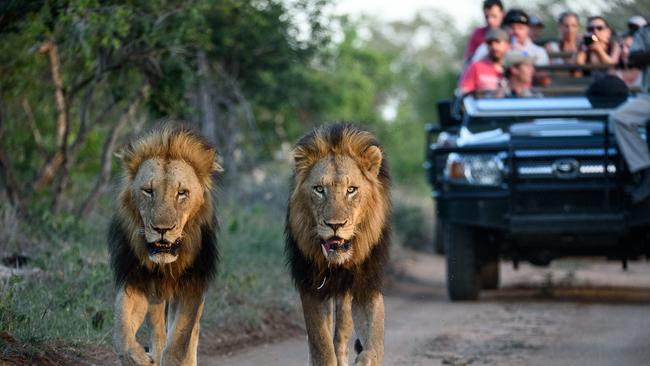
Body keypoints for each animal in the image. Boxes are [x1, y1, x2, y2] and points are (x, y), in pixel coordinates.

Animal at [107, 123, 221, 366]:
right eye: (148, 191)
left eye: (182, 193)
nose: (162, 229)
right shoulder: (136, 279)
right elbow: (121, 332)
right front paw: (139, 358)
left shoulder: (193, 286)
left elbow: (179, 344)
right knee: (157, 331)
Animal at [284, 123, 390, 366]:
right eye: (319, 189)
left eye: (351, 190)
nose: (335, 225)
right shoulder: (311, 286)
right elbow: (320, 344)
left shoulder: (366, 285)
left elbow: (375, 340)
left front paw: (365, 359)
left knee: (342, 333)